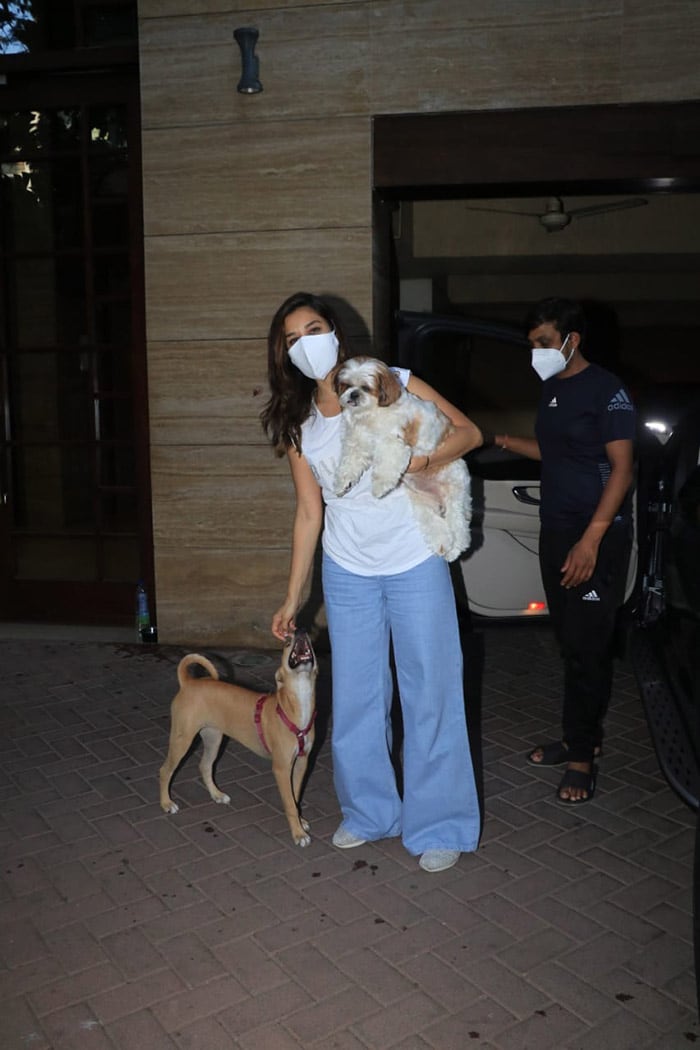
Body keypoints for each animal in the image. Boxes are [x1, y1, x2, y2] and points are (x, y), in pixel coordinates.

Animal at [158, 630, 316, 844]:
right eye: (287, 642)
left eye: (309, 639)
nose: (300, 631)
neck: (296, 704)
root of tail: (188, 683)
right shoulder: (282, 768)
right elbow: (290, 803)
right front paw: (298, 833)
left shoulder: (301, 763)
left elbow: (296, 795)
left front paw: (301, 821)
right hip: (182, 740)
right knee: (165, 770)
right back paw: (167, 803)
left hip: (214, 738)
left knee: (204, 766)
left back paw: (217, 795)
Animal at [333, 356, 470, 562]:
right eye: (346, 385)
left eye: (366, 387)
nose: (354, 394)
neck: (369, 415)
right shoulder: (357, 444)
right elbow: (348, 465)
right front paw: (343, 484)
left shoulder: (393, 444)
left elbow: (385, 468)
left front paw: (379, 487)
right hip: (422, 503)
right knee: (436, 525)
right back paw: (443, 545)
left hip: (455, 496)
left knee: (460, 527)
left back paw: (455, 550)